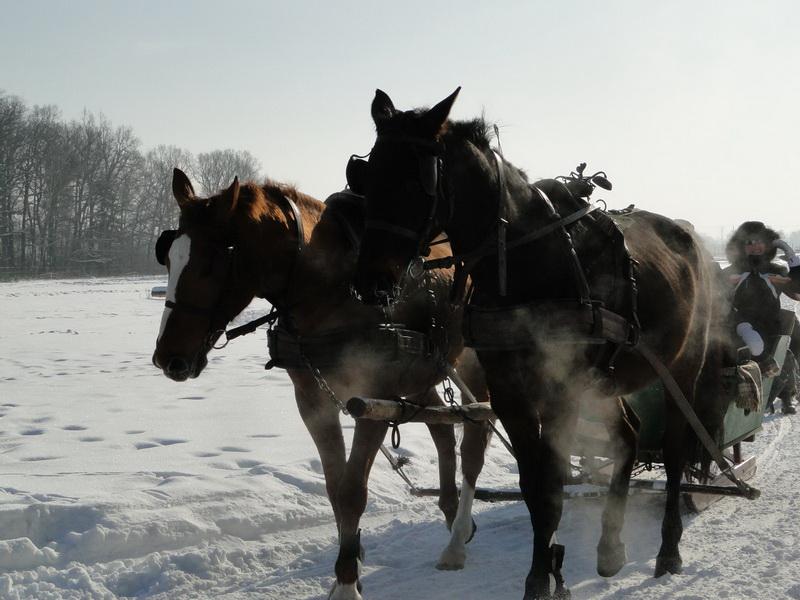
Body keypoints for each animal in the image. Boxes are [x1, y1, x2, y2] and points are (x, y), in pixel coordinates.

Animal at [147, 169, 490, 600]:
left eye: (213, 261)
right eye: (168, 256)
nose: (167, 358)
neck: (331, 294)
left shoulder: (373, 401)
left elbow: (352, 492)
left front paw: (346, 584)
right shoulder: (313, 403)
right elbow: (333, 488)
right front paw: (350, 566)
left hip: (475, 363)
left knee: (475, 441)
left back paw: (456, 541)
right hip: (420, 376)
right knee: (443, 430)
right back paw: (449, 511)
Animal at [354, 90, 728, 600]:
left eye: (416, 181)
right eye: (365, 174)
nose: (368, 282)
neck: (527, 262)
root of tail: (692, 240)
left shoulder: (561, 390)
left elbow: (552, 485)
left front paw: (544, 575)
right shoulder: (510, 393)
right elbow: (535, 486)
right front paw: (546, 572)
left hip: (681, 368)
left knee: (674, 454)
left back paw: (668, 550)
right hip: (605, 381)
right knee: (629, 436)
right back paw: (610, 546)